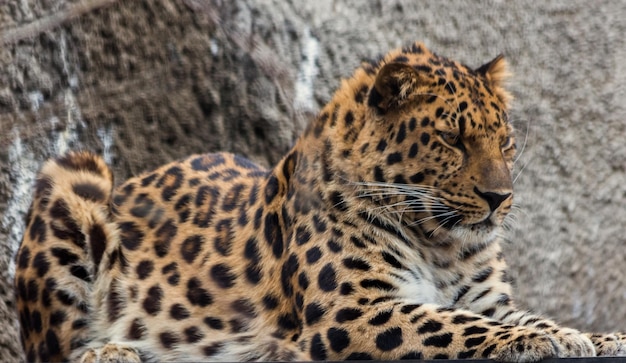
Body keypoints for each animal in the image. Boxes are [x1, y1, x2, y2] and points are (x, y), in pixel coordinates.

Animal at [13, 41, 624, 362]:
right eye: (452, 138)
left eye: (506, 142)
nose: (501, 198)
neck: (441, 243)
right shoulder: (355, 312)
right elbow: (461, 327)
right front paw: (554, 339)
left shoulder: (486, 300)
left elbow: (508, 316)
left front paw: (596, 335)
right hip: (75, 176)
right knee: (51, 351)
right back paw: (111, 350)